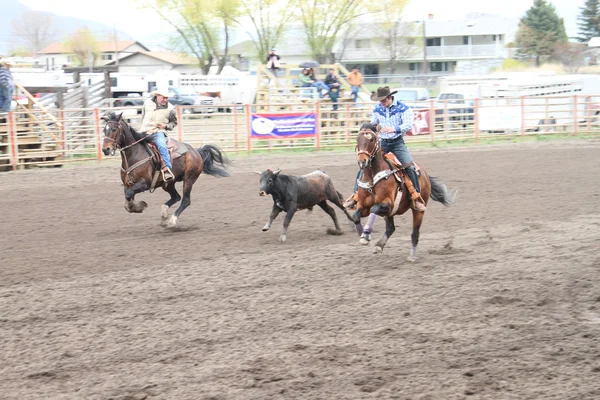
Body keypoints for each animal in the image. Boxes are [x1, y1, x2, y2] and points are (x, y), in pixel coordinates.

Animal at [99, 111, 231, 227]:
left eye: (114, 129)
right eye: (104, 130)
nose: (105, 149)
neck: (135, 154)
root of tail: (196, 151)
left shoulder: (145, 183)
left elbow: (129, 194)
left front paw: (140, 206)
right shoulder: (128, 184)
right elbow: (127, 195)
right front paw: (136, 207)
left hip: (189, 179)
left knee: (185, 200)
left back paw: (172, 221)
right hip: (168, 183)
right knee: (176, 197)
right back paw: (164, 214)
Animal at [352, 122, 454, 260]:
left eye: (372, 139)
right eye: (357, 139)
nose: (362, 161)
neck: (373, 179)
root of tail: (425, 174)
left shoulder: (387, 204)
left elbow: (374, 208)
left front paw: (366, 233)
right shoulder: (364, 206)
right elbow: (355, 215)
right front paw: (362, 234)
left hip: (418, 210)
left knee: (415, 233)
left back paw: (412, 256)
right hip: (389, 214)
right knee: (391, 228)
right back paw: (379, 245)